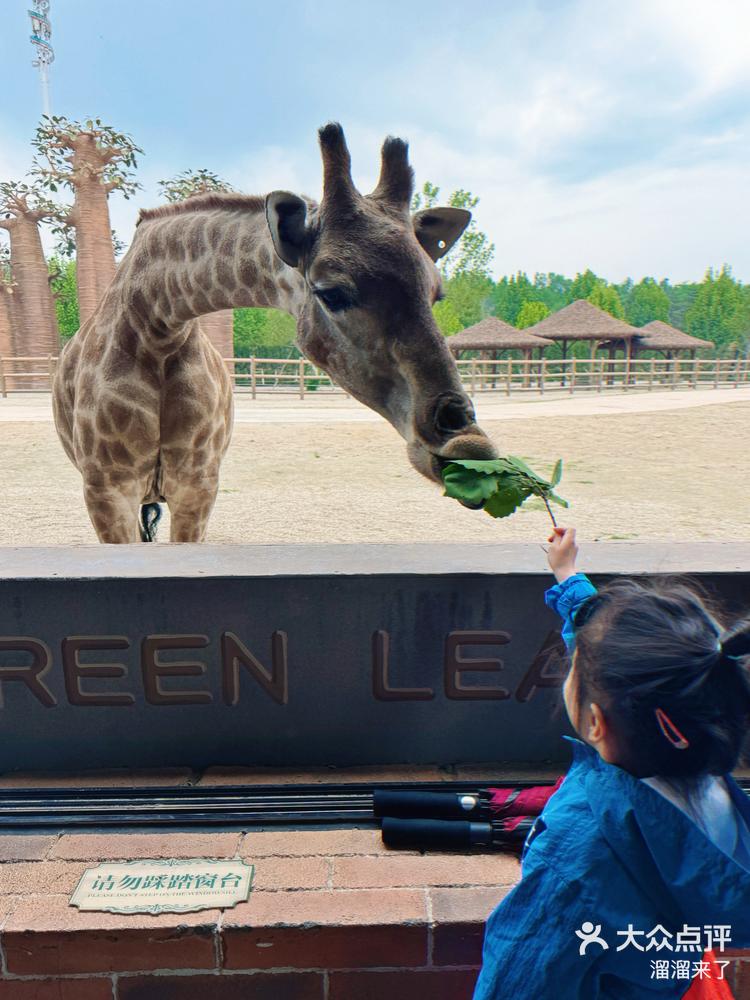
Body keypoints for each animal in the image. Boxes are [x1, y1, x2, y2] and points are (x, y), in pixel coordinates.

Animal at [53, 126, 500, 548]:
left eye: (436, 293)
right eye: (331, 292)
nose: (469, 446)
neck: (157, 327)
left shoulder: (198, 482)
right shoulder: (108, 489)